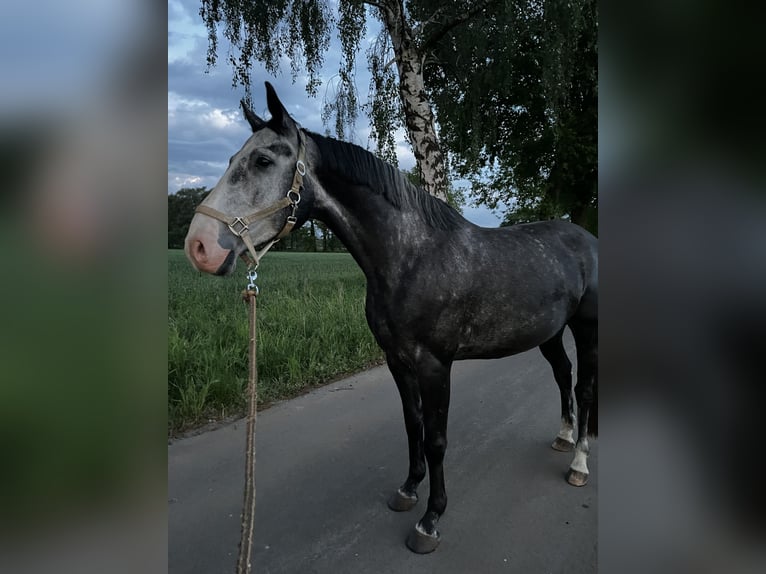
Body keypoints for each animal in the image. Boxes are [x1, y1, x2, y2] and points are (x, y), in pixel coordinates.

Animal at [186, 83, 600, 556]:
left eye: (263, 161)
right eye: (232, 159)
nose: (199, 246)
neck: (411, 257)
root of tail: (585, 238)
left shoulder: (435, 364)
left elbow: (436, 438)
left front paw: (431, 519)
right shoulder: (397, 360)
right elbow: (412, 424)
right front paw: (408, 490)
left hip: (586, 329)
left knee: (584, 387)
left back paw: (579, 463)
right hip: (549, 333)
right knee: (562, 375)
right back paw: (563, 438)